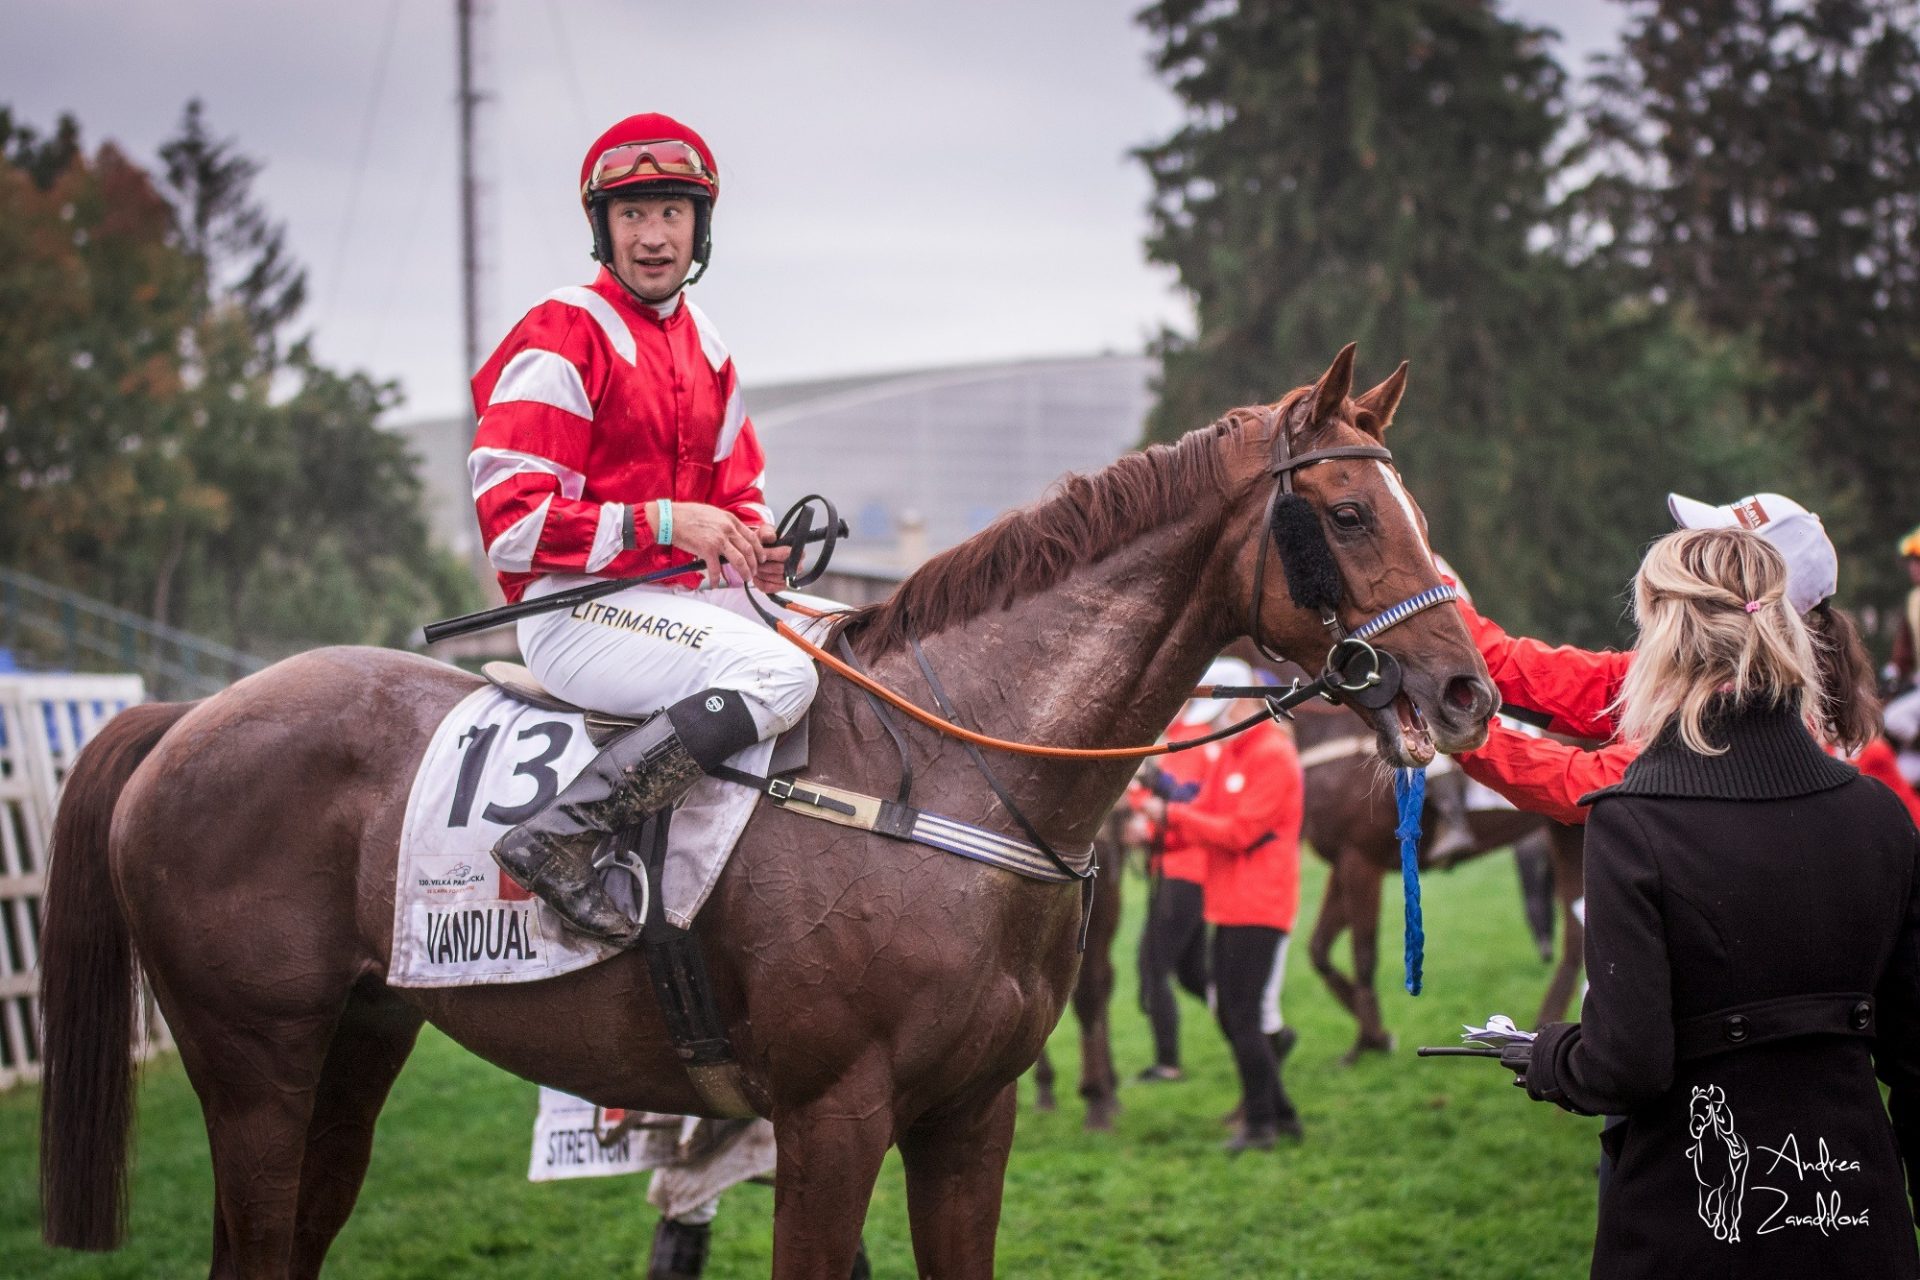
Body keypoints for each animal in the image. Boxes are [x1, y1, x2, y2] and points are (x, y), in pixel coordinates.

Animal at [37, 345, 1489, 1274]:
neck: (946, 771)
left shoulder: (971, 1115)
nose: (1470, 688)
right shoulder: (830, 1115)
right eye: (1348, 513)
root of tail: (193, 712)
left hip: (357, 1043)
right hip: (254, 1061)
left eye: (1416, 506)